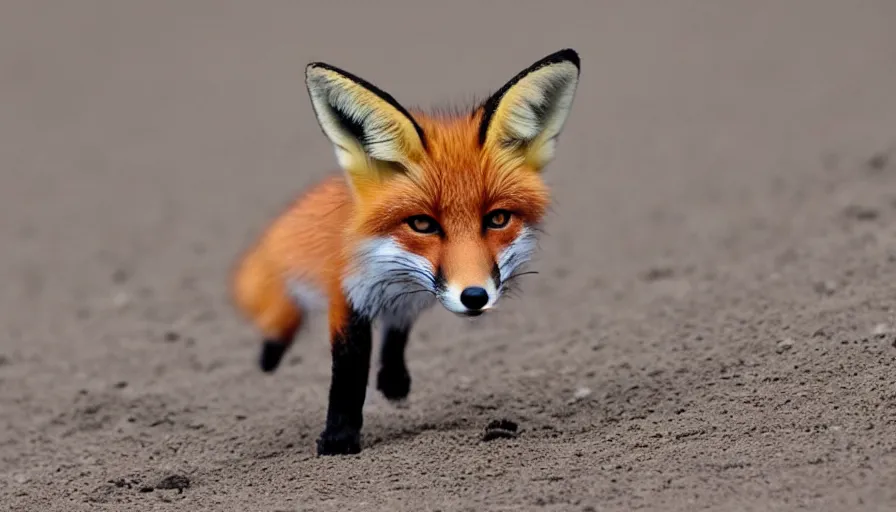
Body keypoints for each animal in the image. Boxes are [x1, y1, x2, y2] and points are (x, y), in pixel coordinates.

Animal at [231, 49, 580, 456]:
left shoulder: (408, 301)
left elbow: (397, 334)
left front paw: (393, 382)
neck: (395, 270)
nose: (475, 296)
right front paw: (339, 439)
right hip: (279, 298)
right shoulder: (347, 296)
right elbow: (349, 371)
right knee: (278, 325)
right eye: (422, 224)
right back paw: (269, 360)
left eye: (497, 218)